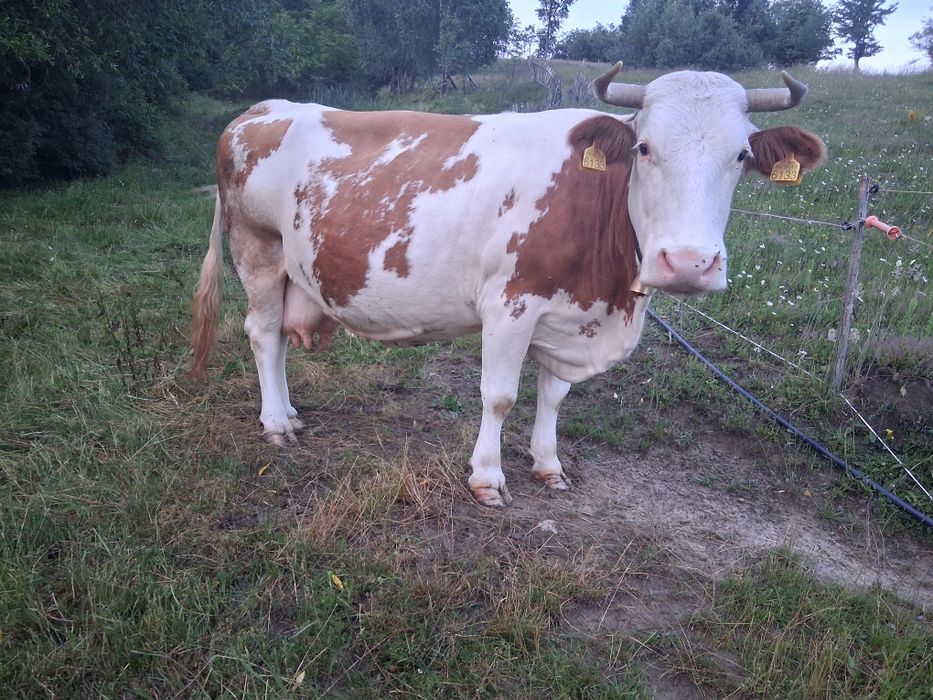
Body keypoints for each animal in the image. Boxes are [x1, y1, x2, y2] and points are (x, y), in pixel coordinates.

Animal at [190, 63, 826, 507]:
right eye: (645, 148)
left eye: (741, 155)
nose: (690, 263)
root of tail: (264, 107)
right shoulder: (510, 304)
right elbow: (499, 396)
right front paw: (488, 478)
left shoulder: (571, 313)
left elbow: (555, 395)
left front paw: (548, 465)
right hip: (258, 251)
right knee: (262, 333)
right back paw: (276, 424)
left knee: (275, 337)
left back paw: (289, 413)